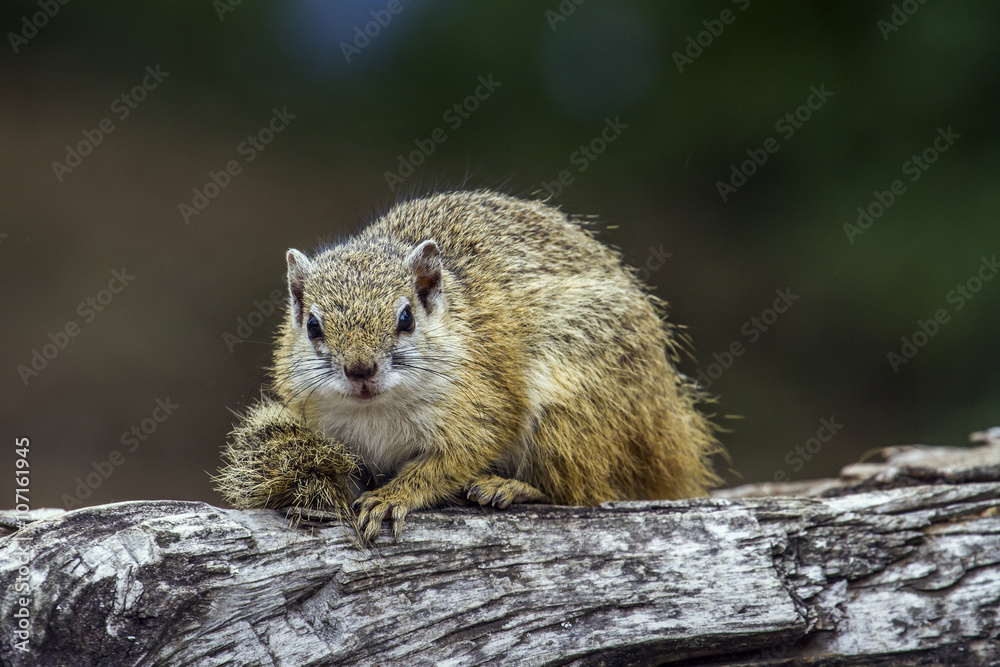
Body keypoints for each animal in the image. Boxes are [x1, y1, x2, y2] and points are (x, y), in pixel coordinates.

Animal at [215, 190, 723, 541]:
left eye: (405, 318)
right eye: (313, 326)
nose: (360, 371)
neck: (375, 410)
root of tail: (668, 427)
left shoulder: (483, 406)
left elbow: (449, 462)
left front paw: (392, 497)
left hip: (571, 412)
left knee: (584, 490)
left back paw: (511, 487)